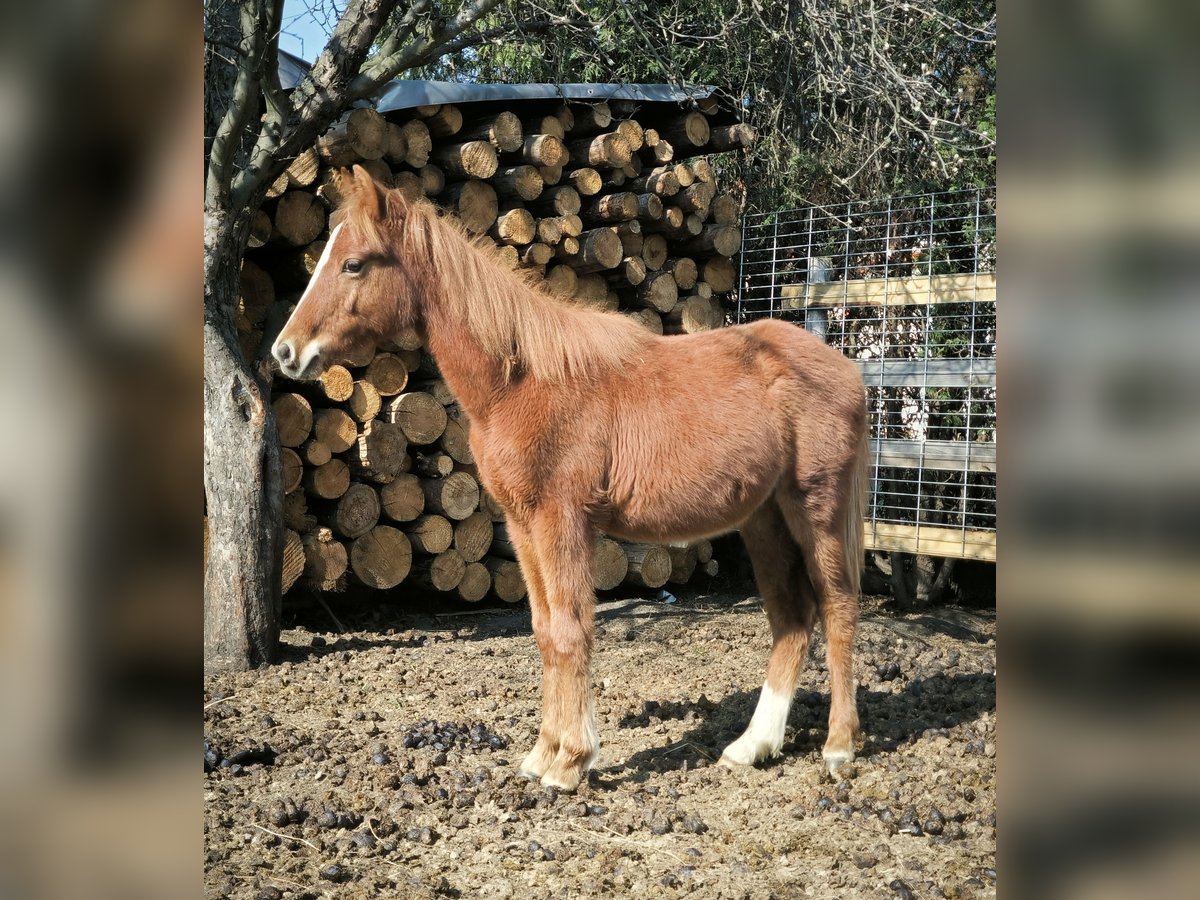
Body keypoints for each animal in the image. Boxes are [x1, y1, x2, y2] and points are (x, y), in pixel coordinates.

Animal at [274, 165, 868, 792]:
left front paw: (569, 764)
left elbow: (570, 629)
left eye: (353, 263)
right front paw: (544, 754)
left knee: (838, 608)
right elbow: (544, 630)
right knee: (792, 620)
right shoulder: (522, 525)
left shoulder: (562, 519)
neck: (520, 382)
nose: (285, 352)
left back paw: (838, 747)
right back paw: (752, 746)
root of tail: (845, 369)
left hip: (817, 512)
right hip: (764, 520)